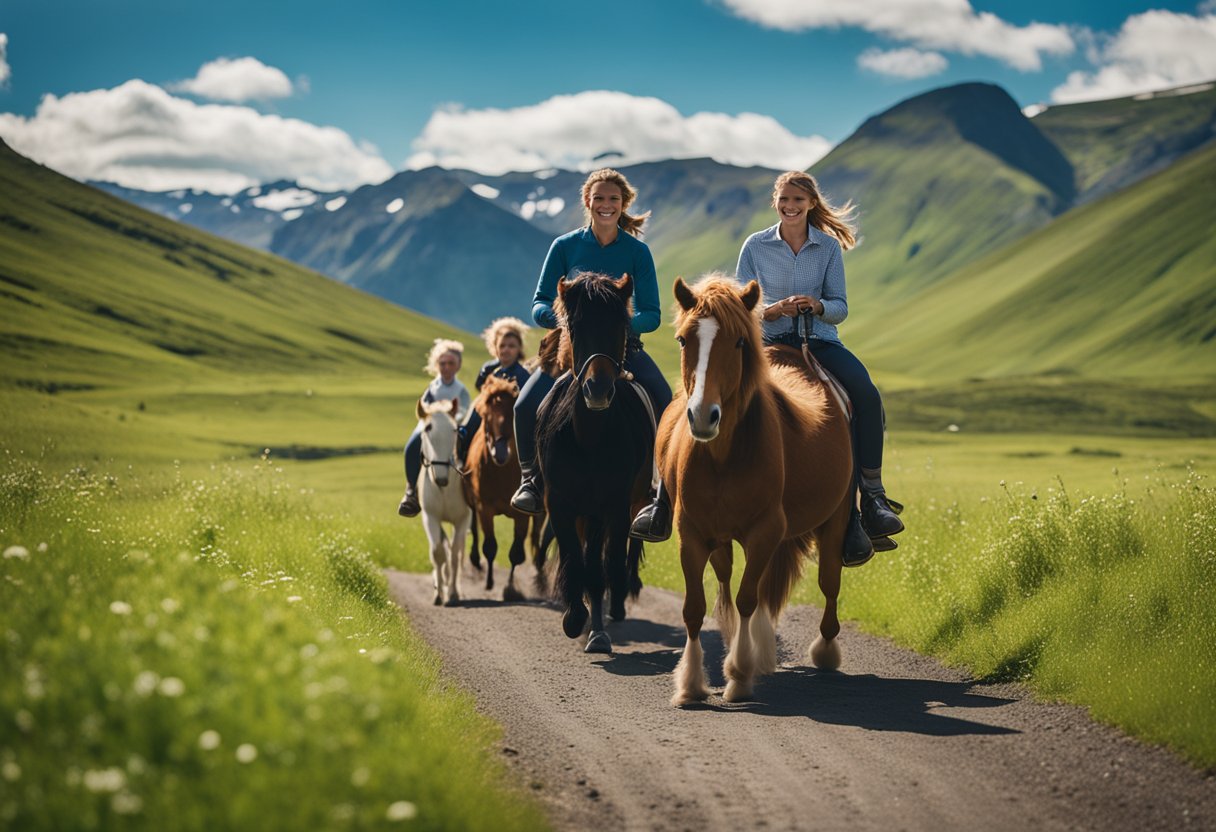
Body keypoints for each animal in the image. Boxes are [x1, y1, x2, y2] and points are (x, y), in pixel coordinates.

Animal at [535, 272, 651, 656]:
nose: (597, 390)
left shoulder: (609, 506)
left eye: (620, 325)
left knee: (617, 556)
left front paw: (598, 631)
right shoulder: (559, 504)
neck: (588, 438)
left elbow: (600, 567)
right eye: (574, 326)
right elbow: (574, 559)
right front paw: (574, 617)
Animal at [656, 276, 856, 705]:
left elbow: (749, 596)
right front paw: (691, 683)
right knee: (731, 578)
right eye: (682, 340)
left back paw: (825, 650)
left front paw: (738, 675)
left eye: (738, 342)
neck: (721, 456)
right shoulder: (691, 533)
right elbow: (694, 608)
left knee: (828, 582)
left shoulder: (765, 531)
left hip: (835, 520)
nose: (702, 416)